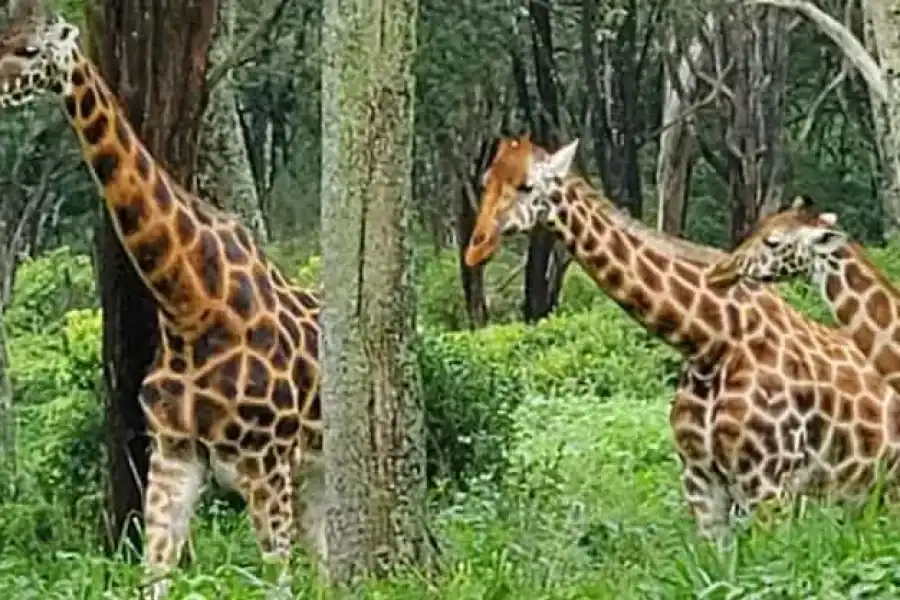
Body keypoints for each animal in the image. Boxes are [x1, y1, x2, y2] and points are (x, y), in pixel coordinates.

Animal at [0, 2, 324, 596]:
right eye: (0, 36)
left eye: (30, 50)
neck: (189, 305)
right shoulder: (173, 455)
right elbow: (153, 574)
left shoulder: (265, 463)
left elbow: (277, 579)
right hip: (314, 467)